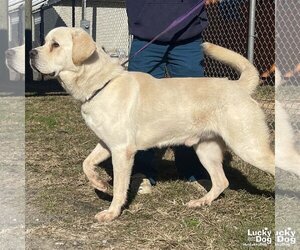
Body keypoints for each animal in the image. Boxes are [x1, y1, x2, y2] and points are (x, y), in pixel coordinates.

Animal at [29, 27, 274, 223]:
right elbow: (86, 164)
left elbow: (120, 188)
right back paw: (200, 202)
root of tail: (239, 87)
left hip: (249, 147)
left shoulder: (122, 151)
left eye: (55, 44)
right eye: (44, 41)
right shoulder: (107, 144)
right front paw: (99, 184)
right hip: (206, 149)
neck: (101, 84)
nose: (31, 53)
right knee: (221, 181)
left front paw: (112, 212)